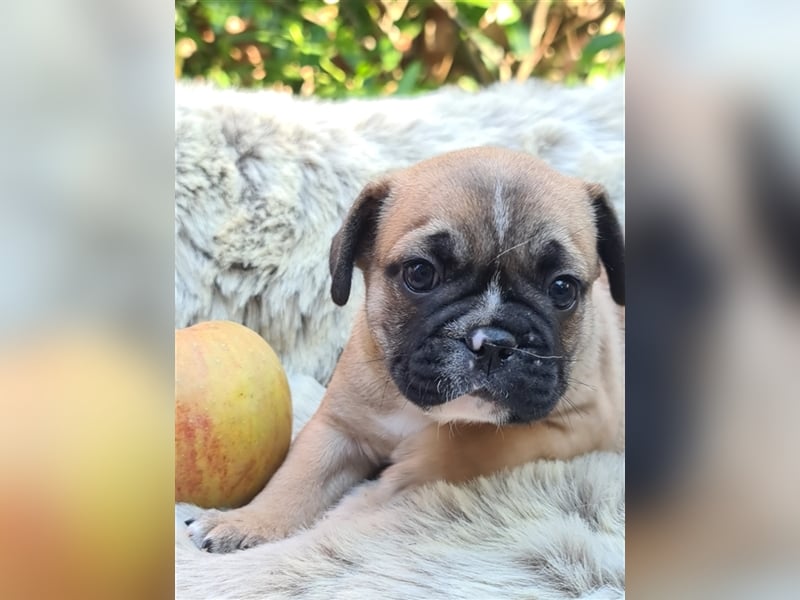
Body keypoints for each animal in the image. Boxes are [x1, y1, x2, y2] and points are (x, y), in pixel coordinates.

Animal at [188, 146, 624, 552]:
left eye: (562, 288)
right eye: (420, 273)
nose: (492, 342)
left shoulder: (579, 422)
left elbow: (474, 444)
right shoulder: (337, 426)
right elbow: (297, 474)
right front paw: (247, 521)